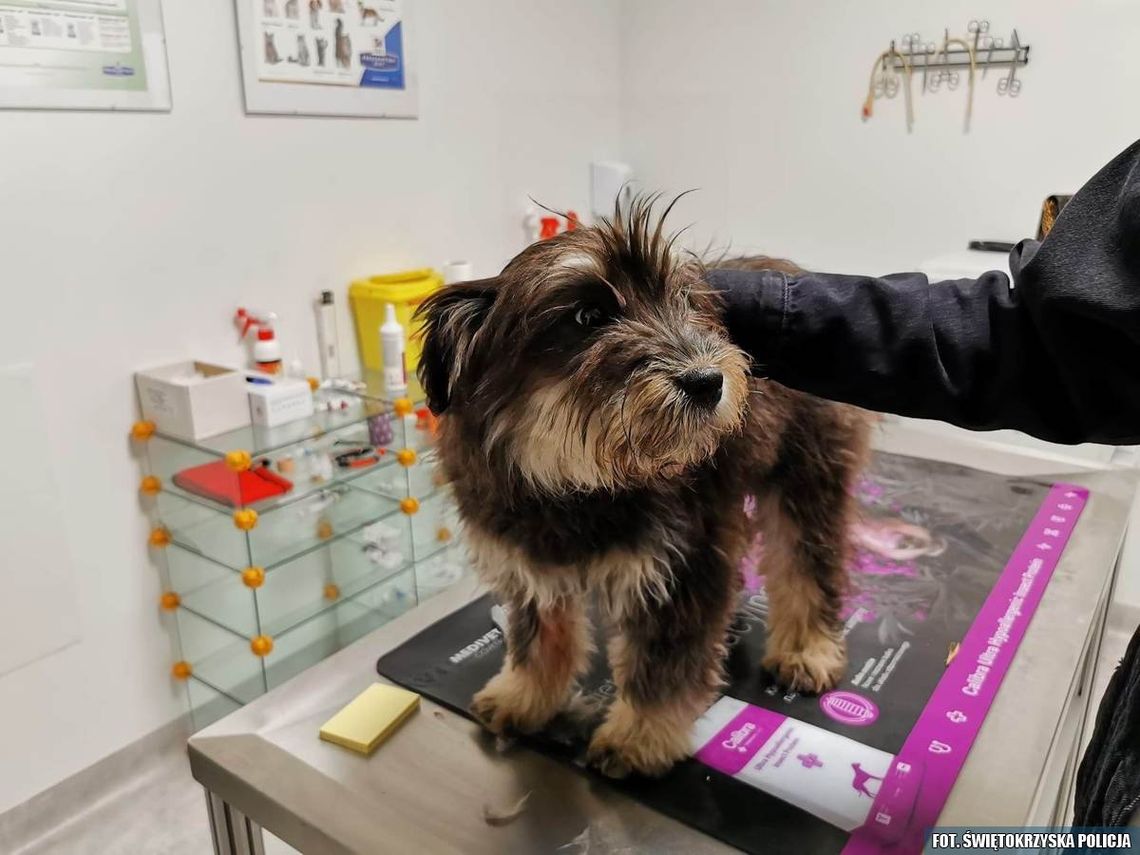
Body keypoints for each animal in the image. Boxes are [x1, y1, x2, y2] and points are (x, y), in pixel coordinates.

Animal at [419, 202, 870, 784]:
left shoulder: (681, 565)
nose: (707, 382)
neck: (576, 483)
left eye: (684, 301)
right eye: (587, 317)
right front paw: (526, 695)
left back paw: (807, 648)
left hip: (807, 479)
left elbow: (662, 665)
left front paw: (639, 735)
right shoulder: (529, 565)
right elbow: (537, 640)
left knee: (808, 563)